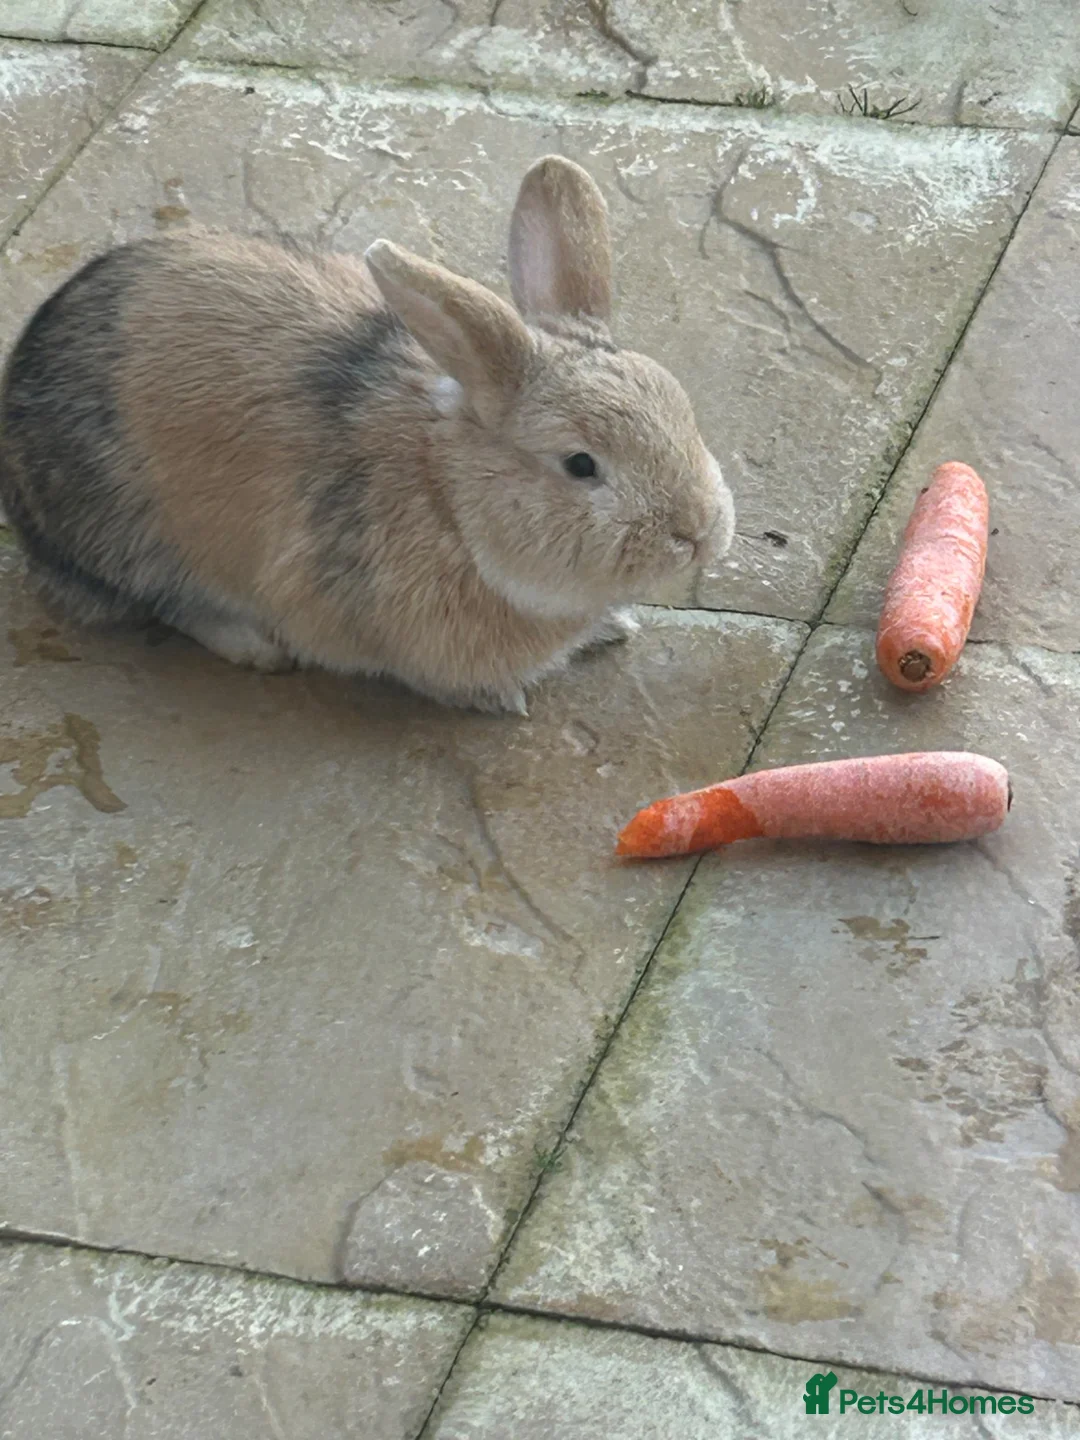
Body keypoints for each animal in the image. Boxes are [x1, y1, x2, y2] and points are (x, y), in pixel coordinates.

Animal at [0, 155, 734, 714]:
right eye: (581, 464)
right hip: (130, 535)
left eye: (682, 406)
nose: (698, 532)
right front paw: (503, 700)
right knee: (165, 602)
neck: (449, 500)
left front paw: (612, 626)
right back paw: (256, 648)